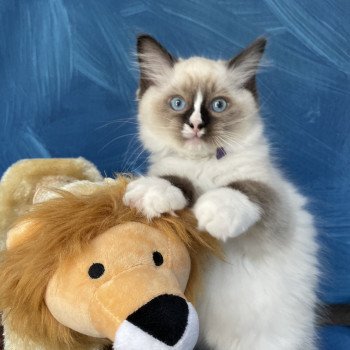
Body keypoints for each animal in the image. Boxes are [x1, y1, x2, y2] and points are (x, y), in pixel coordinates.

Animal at [123, 34, 320, 350]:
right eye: (178, 103)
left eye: (217, 105)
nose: (196, 125)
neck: (205, 165)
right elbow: (179, 181)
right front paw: (153, 193)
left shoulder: (270, 202)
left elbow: (243, 190)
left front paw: (216, 212)